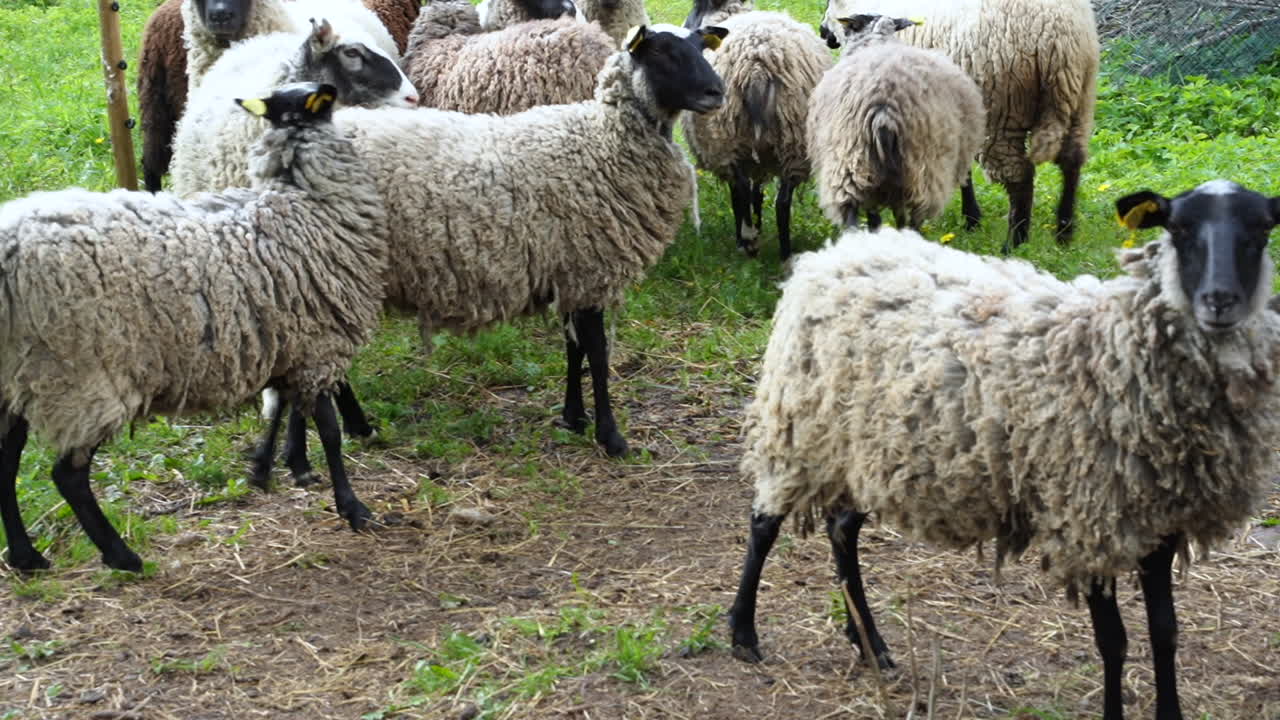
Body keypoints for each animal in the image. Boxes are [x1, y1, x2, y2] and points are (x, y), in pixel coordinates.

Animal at [0, 82, 390, 573]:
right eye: (317, 98)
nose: (335, 89)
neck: (302, 206)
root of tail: (7, 248)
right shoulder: (318, 346)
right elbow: (331, 434)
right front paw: (352, 507)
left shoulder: (286, 339)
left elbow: (282, 407)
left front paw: (269, 467)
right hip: (80, 378)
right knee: (67, 474)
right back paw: (122, 556)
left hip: (21, 374)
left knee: (5, 458)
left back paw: (25, 555)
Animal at [679, 0, 832, 260]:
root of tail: (758, 66)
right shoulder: (760, 156)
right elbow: (757, 193)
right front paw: (759, 225)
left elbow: (741, 194)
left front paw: (747, 234)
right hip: (794, 141)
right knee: (782, 201)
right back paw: (784, 254)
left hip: (726, 139)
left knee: (740, 188)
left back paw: (748, 241)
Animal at [728, 180, 1280, 719]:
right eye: (1178, 229)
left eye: (1261, 231)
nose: (1219, 300)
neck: (1115, 347)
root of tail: (838, 250)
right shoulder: (1088, 519)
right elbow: (1114, 641)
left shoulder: (1160, 520)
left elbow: (1165, 632)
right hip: (800, 427)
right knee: (764, 523)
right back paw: (744, 633)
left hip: (873, 446)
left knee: (842, 530)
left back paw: (872, 646)